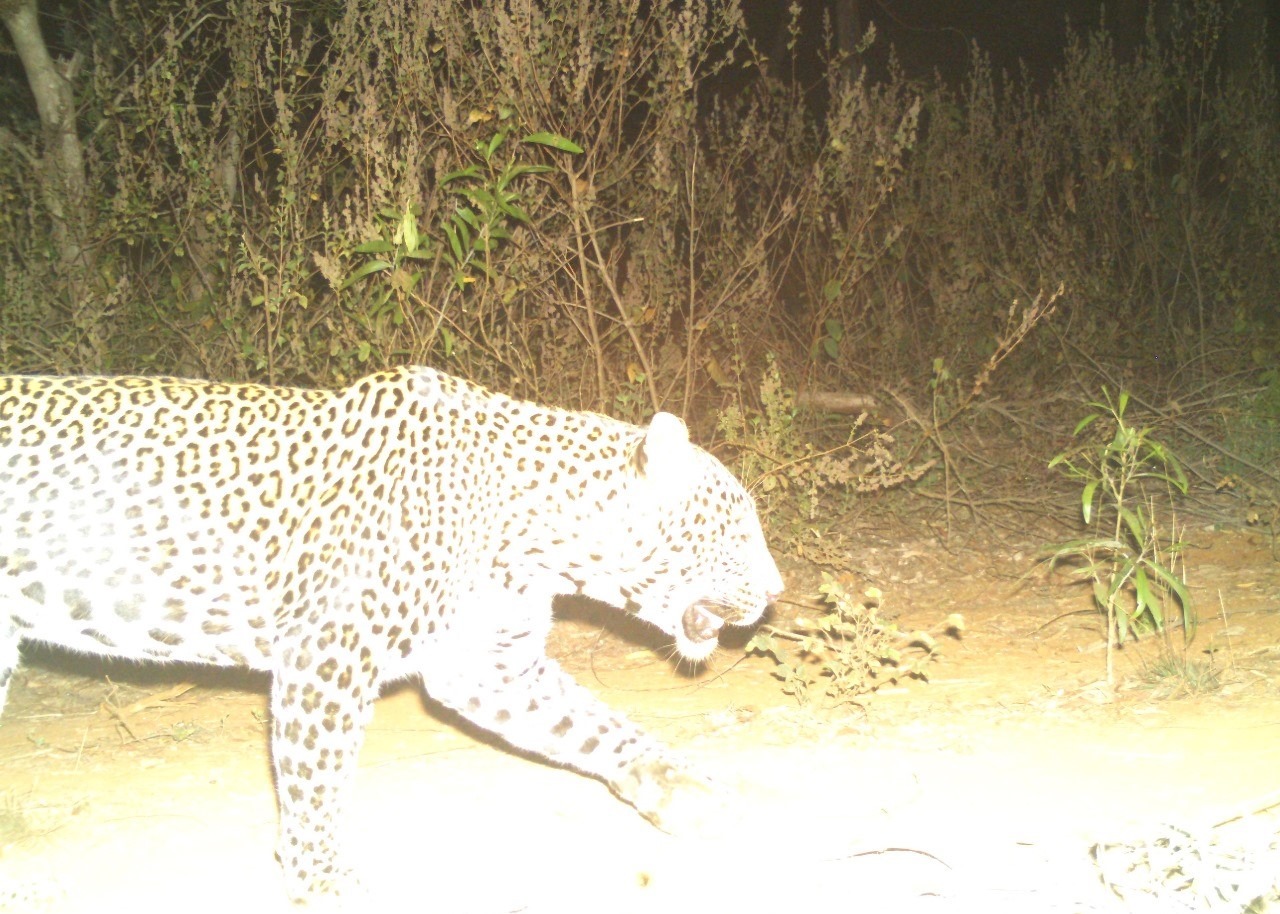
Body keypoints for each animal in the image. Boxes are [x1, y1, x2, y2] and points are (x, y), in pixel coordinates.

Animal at [0, 363, 783, 896]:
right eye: (741, 527)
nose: (778, 592)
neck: (538, 534)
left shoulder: (490, 665)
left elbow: (594, 726)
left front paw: (683, 789)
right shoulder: (327, 651)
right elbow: (314, 776)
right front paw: (320, 878)